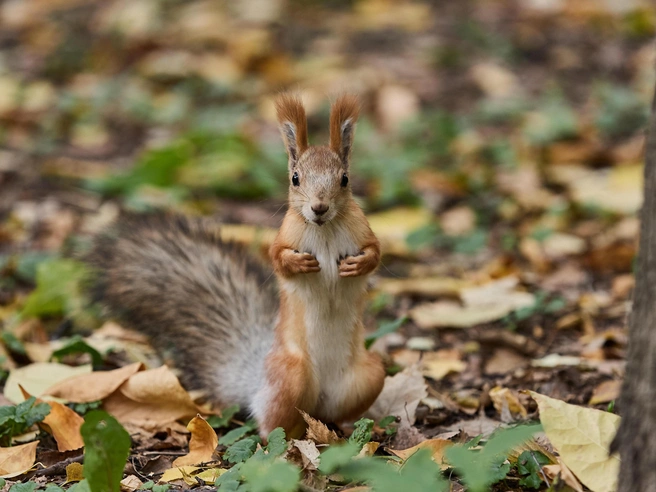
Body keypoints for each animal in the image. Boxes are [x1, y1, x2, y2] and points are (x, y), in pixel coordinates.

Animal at [87, 94, 386, 438]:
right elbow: (277, 257)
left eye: (345, 179)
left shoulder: (362, 231)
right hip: (291, 377)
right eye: (295, 178)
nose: (319, 207)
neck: (325, 230)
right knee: (275, 426)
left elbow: (375, 252)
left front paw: (357, 265)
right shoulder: (284, 235)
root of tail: (258, 387)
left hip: (369, 376)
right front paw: (299, 262)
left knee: (334, 413)